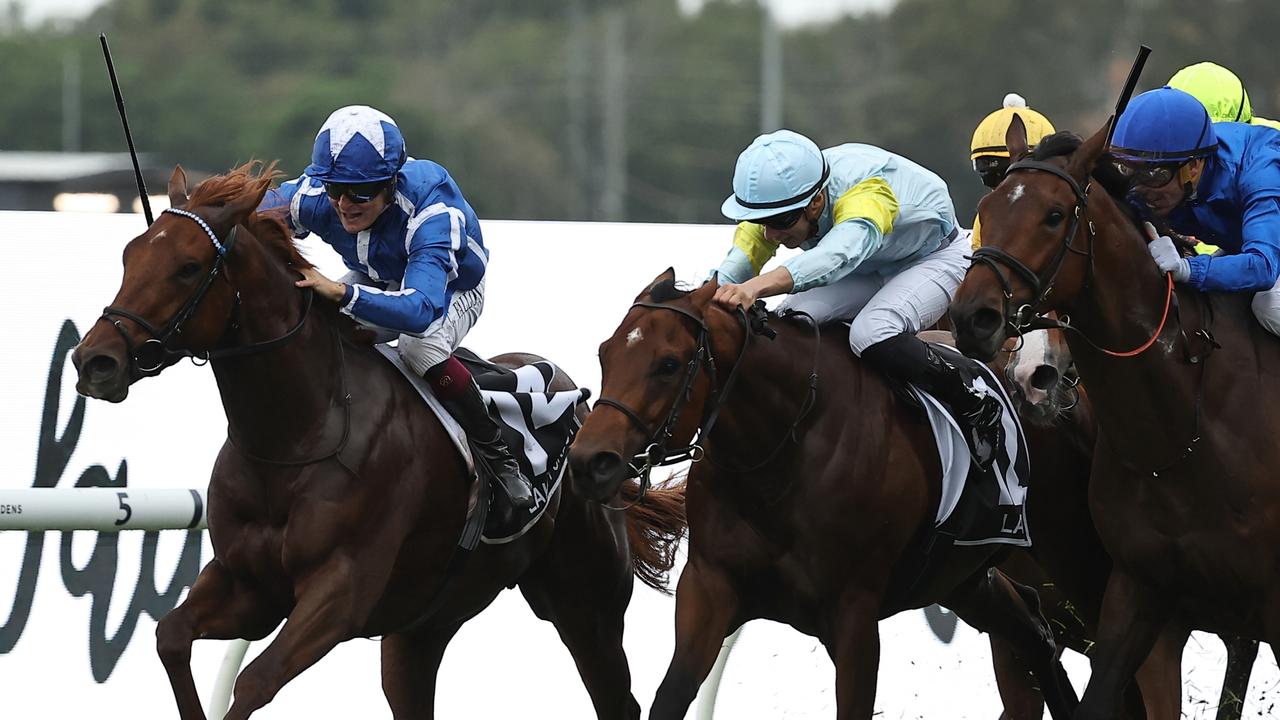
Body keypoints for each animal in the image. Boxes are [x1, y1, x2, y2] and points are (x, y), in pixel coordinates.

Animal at [67, 163, 691, 717]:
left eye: (188, 267)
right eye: (130, 254)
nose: (94, 360)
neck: (298, 437)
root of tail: (582, 407)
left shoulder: (340, 594)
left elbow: (253, 682)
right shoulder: (247, 584)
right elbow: (170, 638)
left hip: (588, 611)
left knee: (617, 700)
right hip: (422, 628)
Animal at [570, 270, 1080, 717]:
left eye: (669, 364)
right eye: (605, 353)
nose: (588, 462)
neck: (783, 455)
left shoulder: (854, 615)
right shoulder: (710, 587)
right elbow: (672, 696)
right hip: (961, 579)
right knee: (1035, 632)